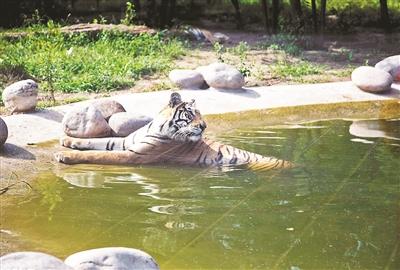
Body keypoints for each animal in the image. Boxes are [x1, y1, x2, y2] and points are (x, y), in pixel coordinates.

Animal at [54, 92, 292, 170]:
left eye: (201, 115)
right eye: (191, 114)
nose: (204, 126)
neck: (156, 126)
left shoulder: (133, 155)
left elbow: (97, 153)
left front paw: (64, 155)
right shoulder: (126, 142)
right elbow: (99, 142)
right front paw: (67, 141)